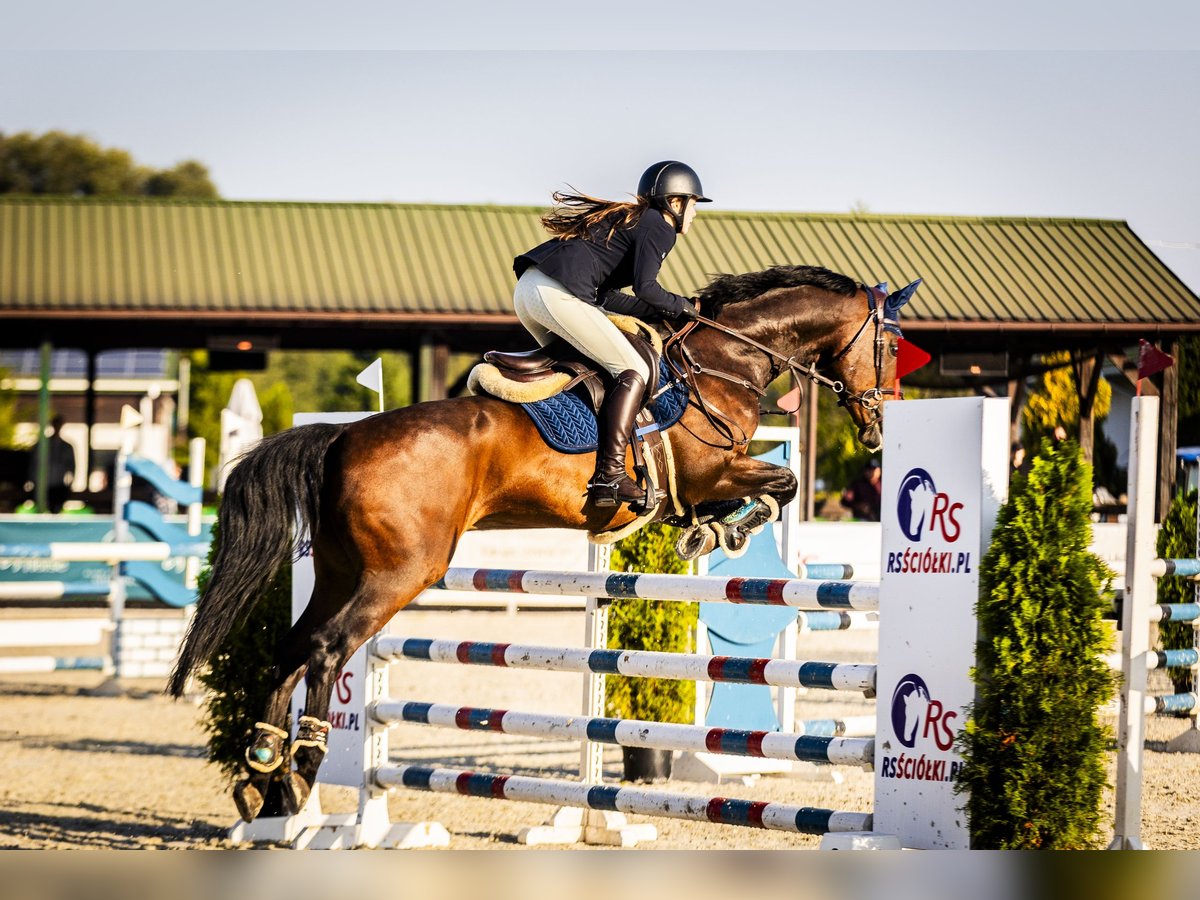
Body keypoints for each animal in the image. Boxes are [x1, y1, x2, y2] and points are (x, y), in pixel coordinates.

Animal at [169, 264, 912, 820]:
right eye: (889, 348)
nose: (880, 427)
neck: (723, 359)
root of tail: (343, 436)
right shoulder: (709, 470)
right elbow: (781, 481)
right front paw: (724, 528)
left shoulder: (705, 479)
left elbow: (766, 486)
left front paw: (711, 529)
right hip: (399, 573)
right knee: (325, 648)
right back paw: (301, 768)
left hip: (338, 569)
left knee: (292, 646)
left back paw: (260, 772)